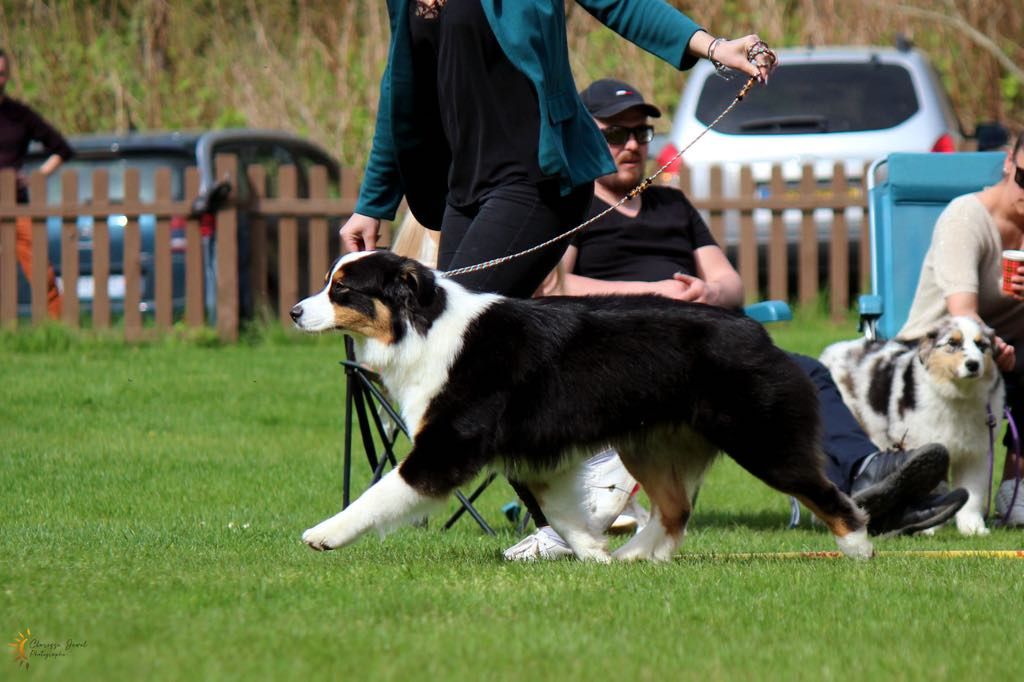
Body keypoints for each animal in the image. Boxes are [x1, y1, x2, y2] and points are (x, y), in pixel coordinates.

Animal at [290, 249, 872, 557]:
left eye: (342, 290)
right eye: (328, 282)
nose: (295, 311)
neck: (424, 326)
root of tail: (759, 330)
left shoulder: (446, 447)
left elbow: (379, 495)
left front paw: (323, 534)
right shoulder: (535, 458)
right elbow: (563, 511)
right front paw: (593, 555)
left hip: (761, 438)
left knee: (826, 493)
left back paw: (859, 548)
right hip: (649, 444)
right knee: (676, 509)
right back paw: (634, 558)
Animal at [819, 315, 1003, 532]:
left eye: (982, 345)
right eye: (952, 343)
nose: (973, 364)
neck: (958, 396)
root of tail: (833, 349)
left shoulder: (976, 452)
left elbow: (973, 492)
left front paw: (973, 529)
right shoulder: (921, 441)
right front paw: (929, 526)